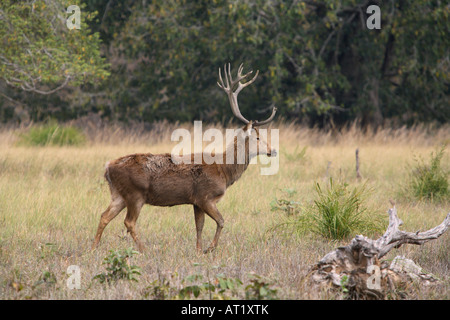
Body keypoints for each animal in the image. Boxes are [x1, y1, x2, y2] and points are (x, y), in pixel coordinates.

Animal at [92, 63, 278, 252]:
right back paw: (143, 250)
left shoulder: (196, 201)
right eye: (257, 137)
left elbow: (199, 226)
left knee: (104, 216)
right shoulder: (205, 196)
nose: (273, 150)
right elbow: (221, 221)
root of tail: (108, 167)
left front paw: (198, 250)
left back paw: (93, 248)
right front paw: (209, 248)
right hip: (135, 194)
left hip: (118, 194)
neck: (224, 170)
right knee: (129, 222)